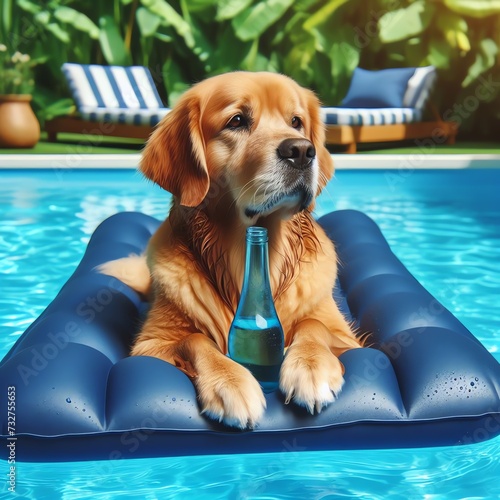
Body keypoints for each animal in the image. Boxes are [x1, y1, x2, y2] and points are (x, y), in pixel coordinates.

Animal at [99, 71, 362, 430]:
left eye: (296, 122)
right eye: (237, 121)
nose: (301, 151)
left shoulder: (347, 338)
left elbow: (313, 325)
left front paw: (311, 367)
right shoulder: (150, 345)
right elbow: (194, 339)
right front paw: (231, 382)